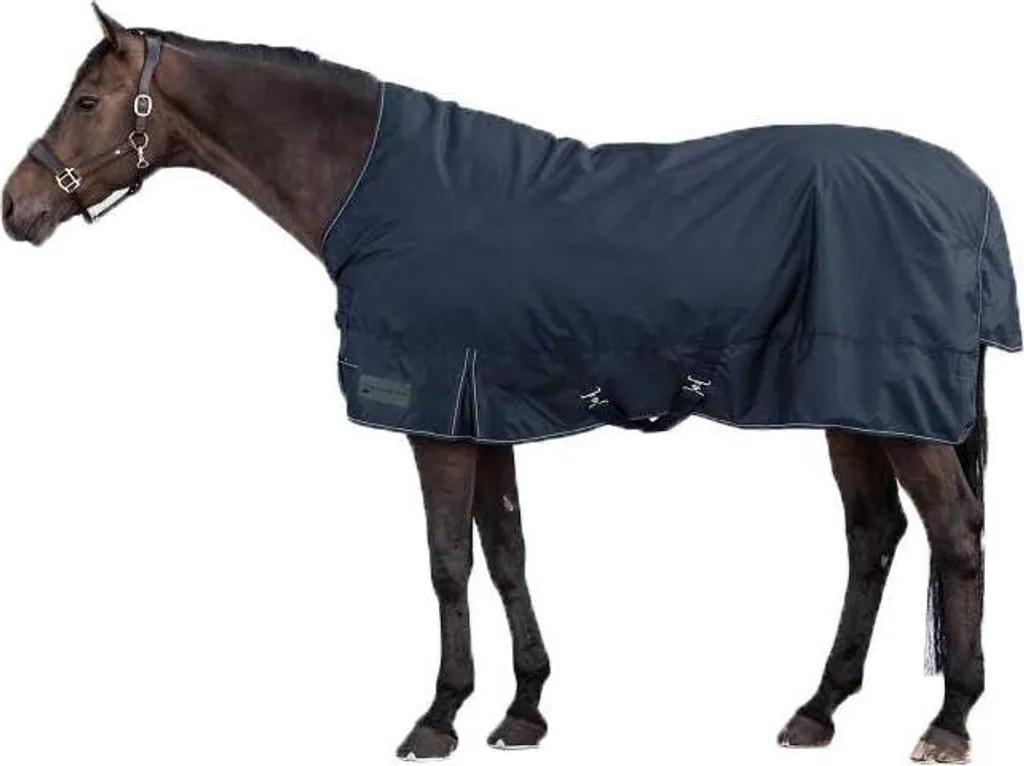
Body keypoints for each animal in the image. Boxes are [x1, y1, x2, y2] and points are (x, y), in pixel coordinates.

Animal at [3, 6, 1019, 763]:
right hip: (853, 406)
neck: (382, 191)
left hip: (902, 416)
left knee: (955, 536)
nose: (18, 207)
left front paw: (438, 716)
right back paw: (819, 709)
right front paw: (524, 709)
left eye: (87, 99)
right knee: (875, 537)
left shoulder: (437, 420)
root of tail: (966, 193)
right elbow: (506, 555)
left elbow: (448, 563)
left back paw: (949, 721)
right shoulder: (483, 410)